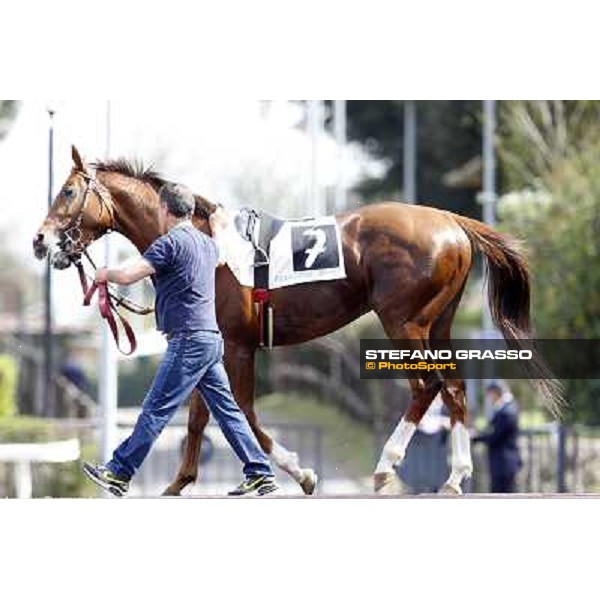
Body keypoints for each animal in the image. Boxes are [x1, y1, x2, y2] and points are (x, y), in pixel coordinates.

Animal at [34, 148, 564, 494]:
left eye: (67, 192)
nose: (41, 241)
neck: (204, 240)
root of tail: (451, 222)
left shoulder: (236, 344)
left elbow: (239, 413)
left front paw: (295, 473)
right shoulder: (212, 345)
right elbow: (202, 415)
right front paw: (179, 483)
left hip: (404, 323)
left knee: (427, 387)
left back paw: (387, 464)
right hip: (438, 325)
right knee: (454, 390)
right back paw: (454, 478)